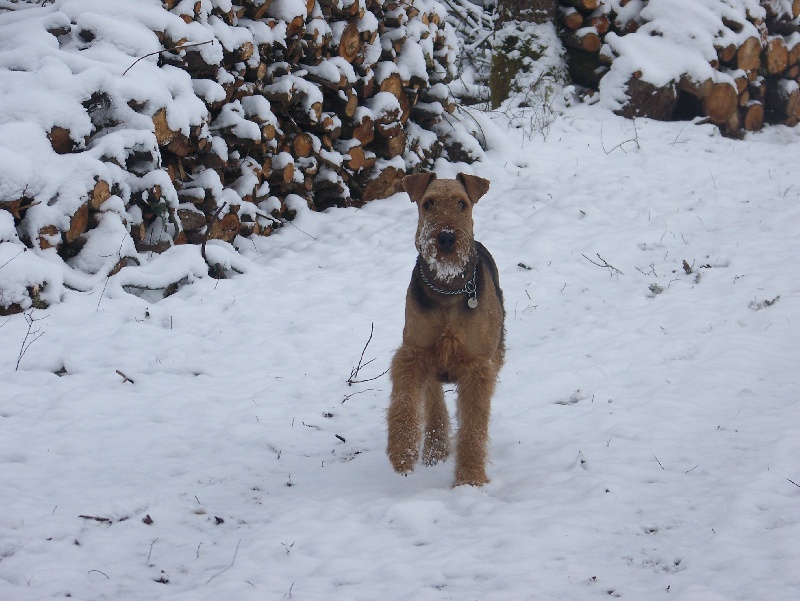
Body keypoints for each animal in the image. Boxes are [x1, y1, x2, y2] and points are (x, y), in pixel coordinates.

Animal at [388, 171, 506, 486]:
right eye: (428, 203)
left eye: (462, 203)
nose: (446, 237)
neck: (447, 289)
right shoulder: (413, 354)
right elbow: (405, 402)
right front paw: (402, 452)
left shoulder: (478, 368)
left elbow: (473, 426)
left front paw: (470, 479)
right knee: (435, 403)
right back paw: (435, 449)